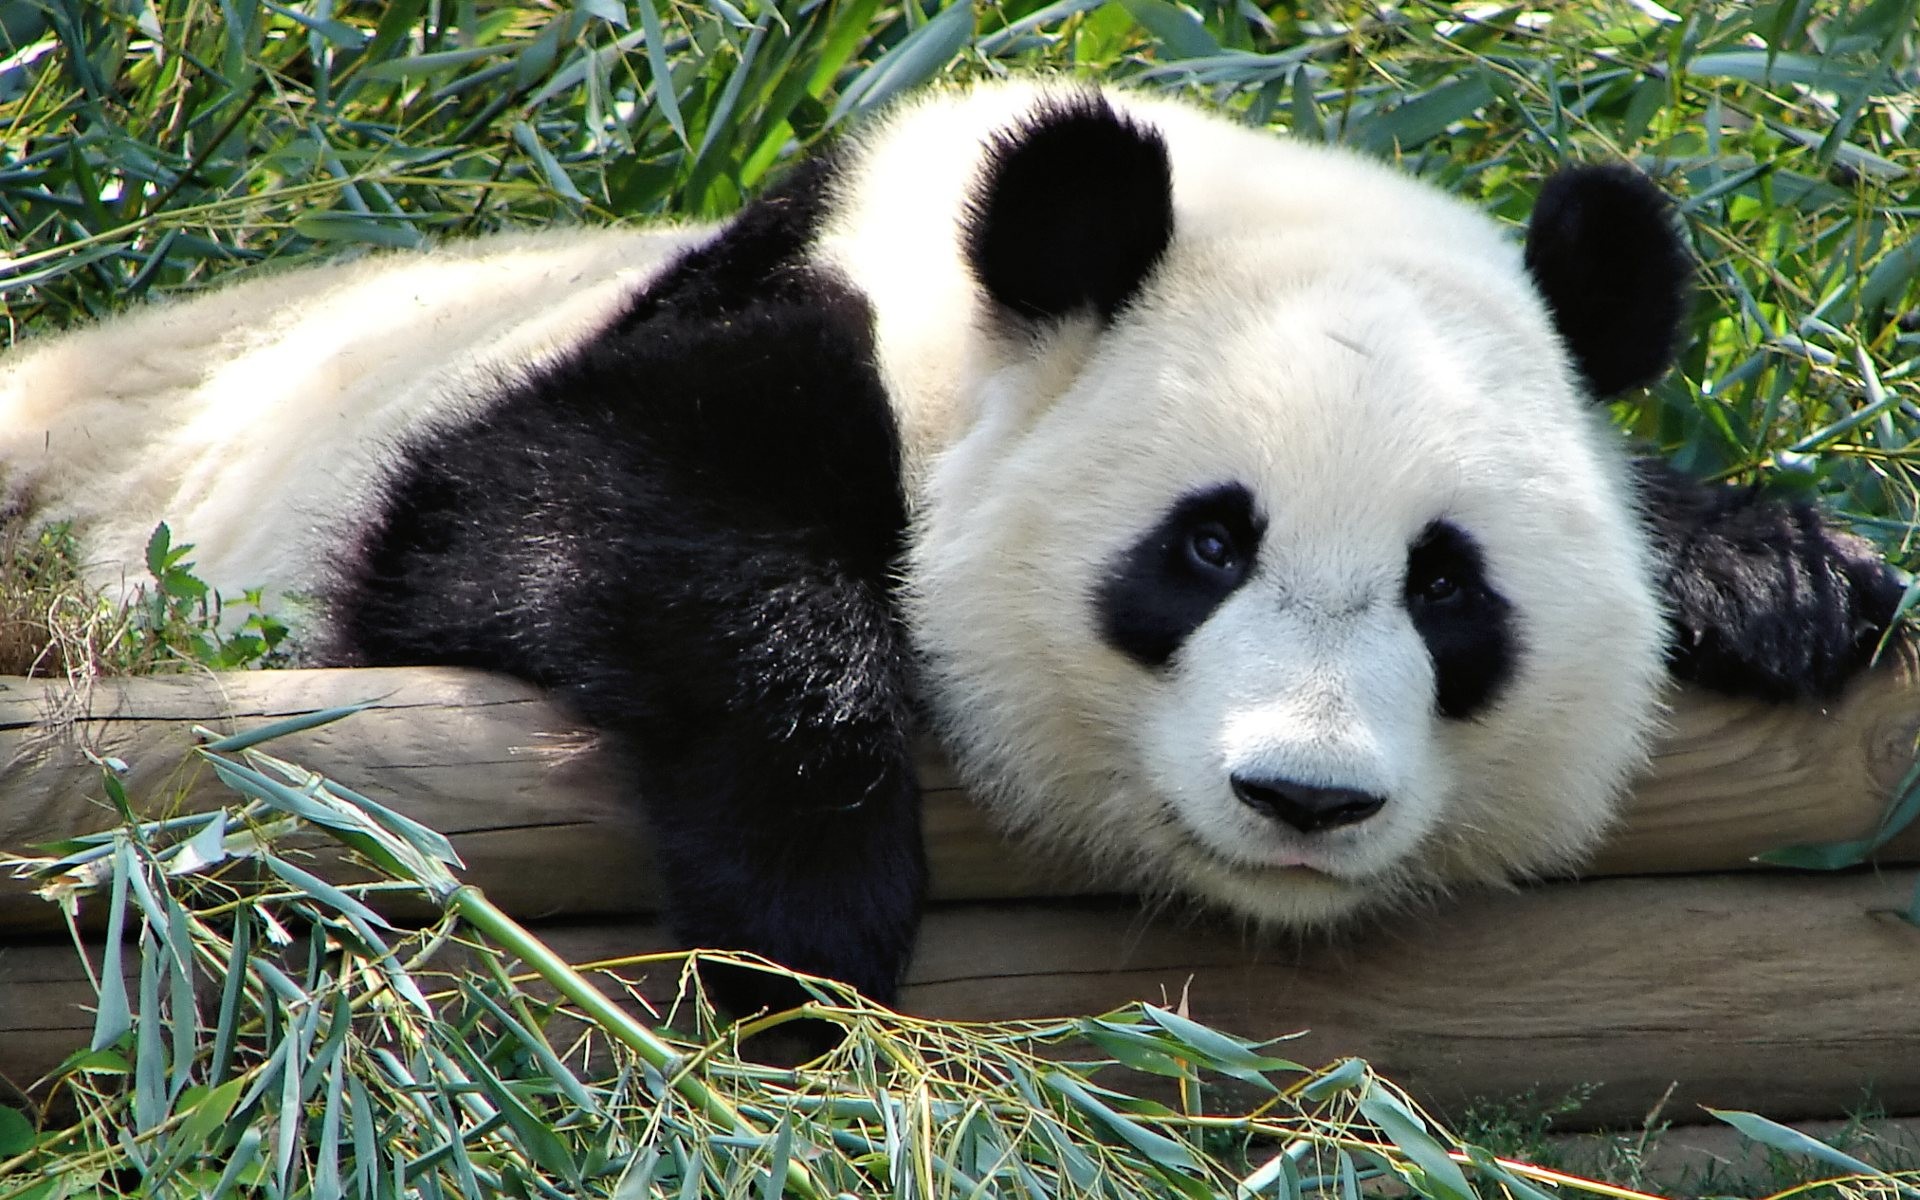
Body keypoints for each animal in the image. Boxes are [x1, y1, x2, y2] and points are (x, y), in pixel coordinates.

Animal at [0, 80, 1902, 1018]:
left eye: (1450, 588)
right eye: (1205, 547)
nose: (1305, 796)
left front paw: (1782, 579)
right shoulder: (735, 335)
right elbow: (541, 514)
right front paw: (808, 917)